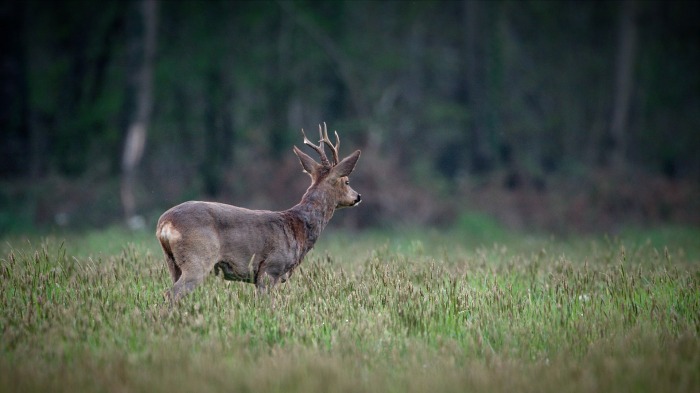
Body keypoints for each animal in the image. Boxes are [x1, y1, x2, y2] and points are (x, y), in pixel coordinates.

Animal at [157, 124, 360, 302]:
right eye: (347, 181)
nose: (358, 196)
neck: (298, 227)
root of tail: (165, 223)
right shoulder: (270, 268)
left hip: (172, 262)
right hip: (197, 258)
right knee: (171, 293)